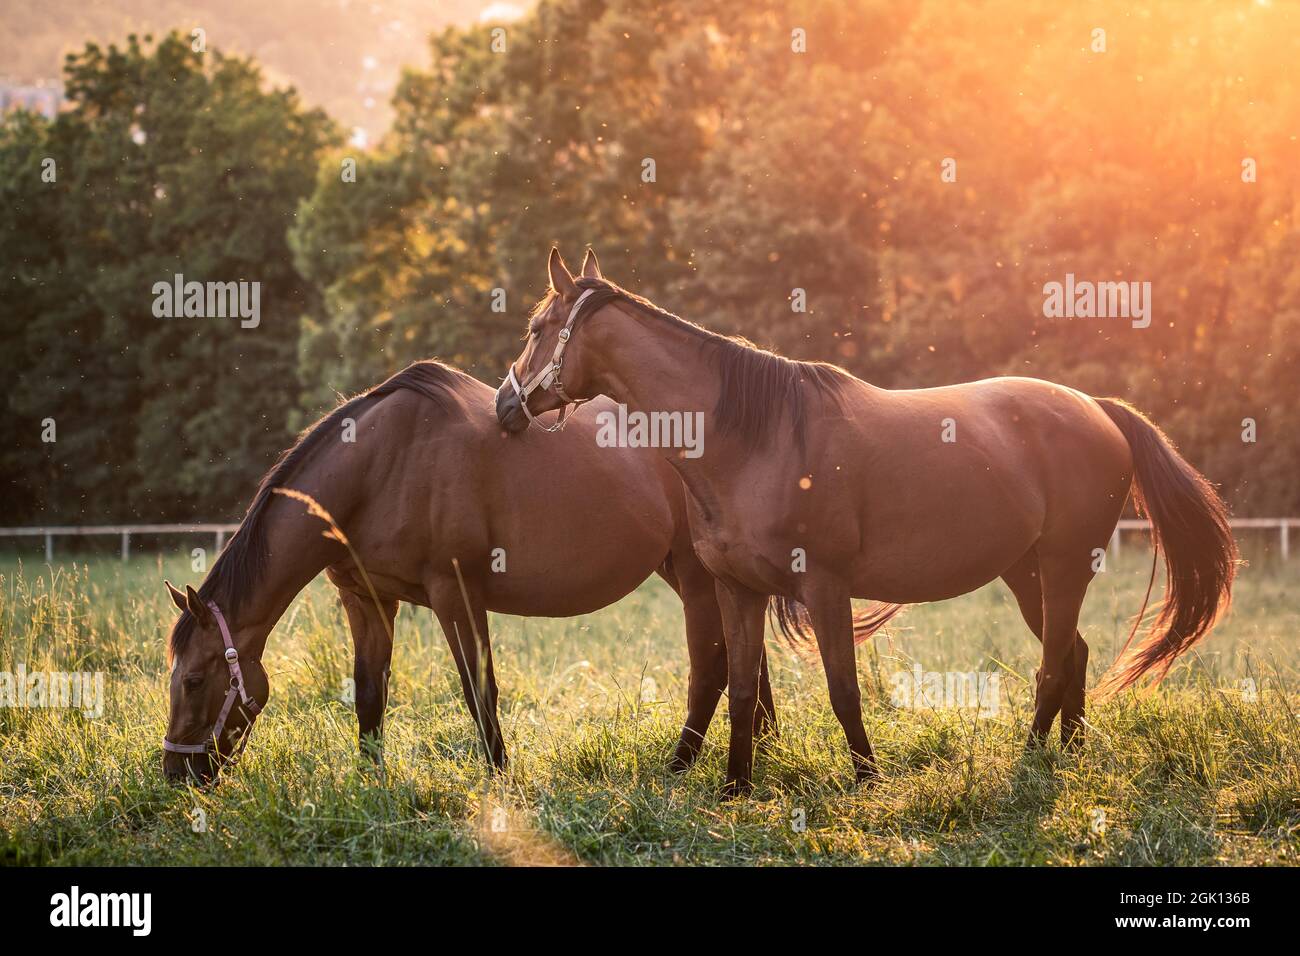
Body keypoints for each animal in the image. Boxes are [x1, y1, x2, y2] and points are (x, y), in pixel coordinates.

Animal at [161, 358, 769, 785]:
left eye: (193, 680)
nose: (176, 774)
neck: (379, 466)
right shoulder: (367, 600)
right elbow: (369, 694)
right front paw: (370, 781)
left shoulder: (455, 594)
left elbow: (480, 690)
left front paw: (501, 780)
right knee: (748, 663)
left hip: (697, 578)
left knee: (712, 669)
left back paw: (684, 767)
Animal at [496, 247, 1237, 790]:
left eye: (535, 330)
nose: (505, 407)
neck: (755, 437)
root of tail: (1097, 408)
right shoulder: (738, 590)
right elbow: (741, 690)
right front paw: (735, 788)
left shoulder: (825, 587)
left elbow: (843, 688)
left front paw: (866, 779)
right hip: (1027, 574)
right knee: (1072, 654)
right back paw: (1071, 756)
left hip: (1063, 568)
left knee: (1054, 664)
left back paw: (1030, 762)